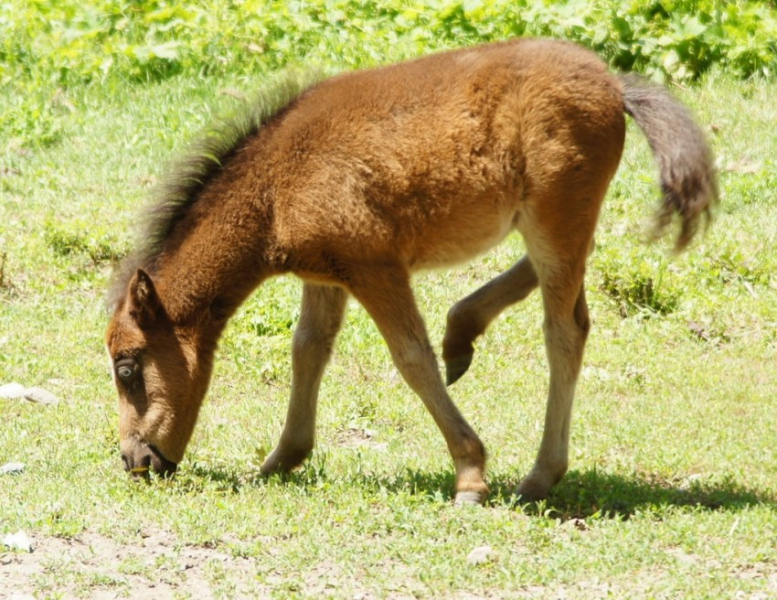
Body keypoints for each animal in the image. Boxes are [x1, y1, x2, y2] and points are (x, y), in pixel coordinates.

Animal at [106, 38, 720, 506]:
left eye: (128, 367)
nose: (136, 459)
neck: (276, 187)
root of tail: (613, 84)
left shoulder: (375, 269)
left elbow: (410, 358)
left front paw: (470, 477)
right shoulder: (325, 276)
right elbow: (308, 350)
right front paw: (279, 461)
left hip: (553, 217)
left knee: (565, 331)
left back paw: (538, 477)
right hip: (552, 223)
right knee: (569, 269)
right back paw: (463, 332)